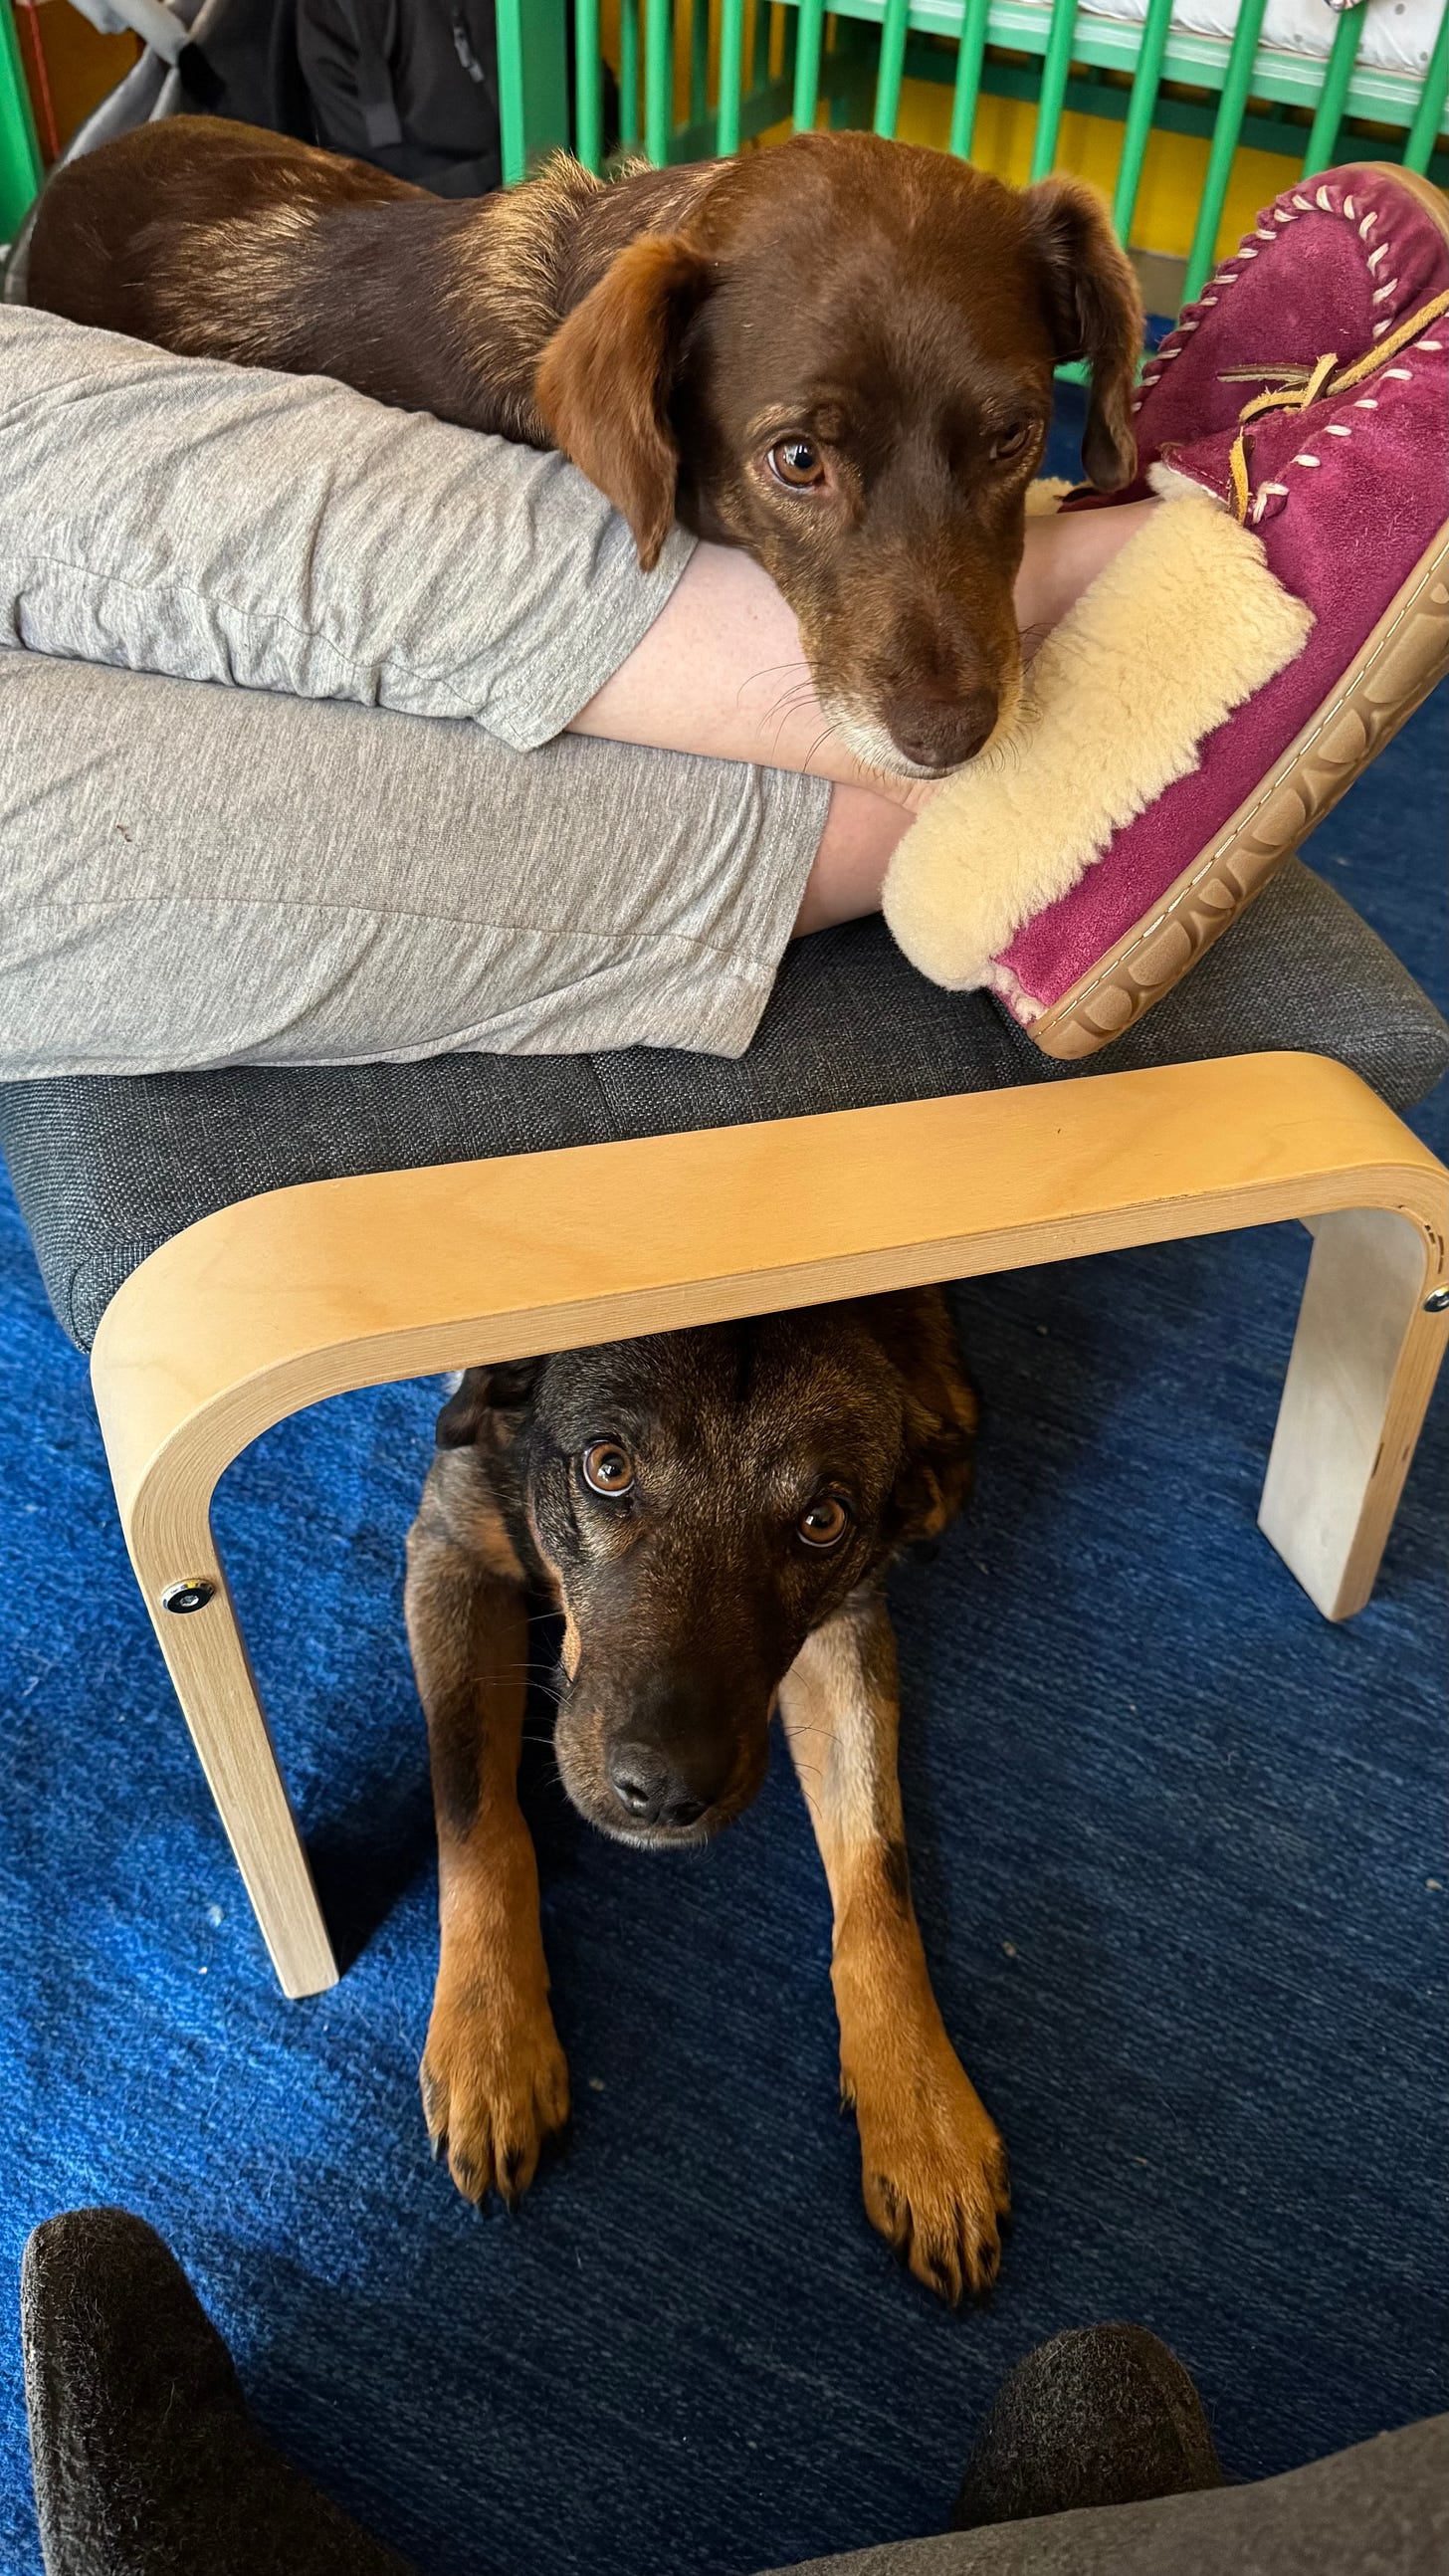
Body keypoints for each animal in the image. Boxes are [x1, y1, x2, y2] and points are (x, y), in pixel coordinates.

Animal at [396, 1298, 1008, 2307]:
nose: (665, 1793)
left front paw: (925, 2116)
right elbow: (476, 1816)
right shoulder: (451, 1546)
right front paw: (491, 2040)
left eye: (822, 1520)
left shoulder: (845, 1623)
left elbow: (878, 1880)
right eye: (608, 1468)